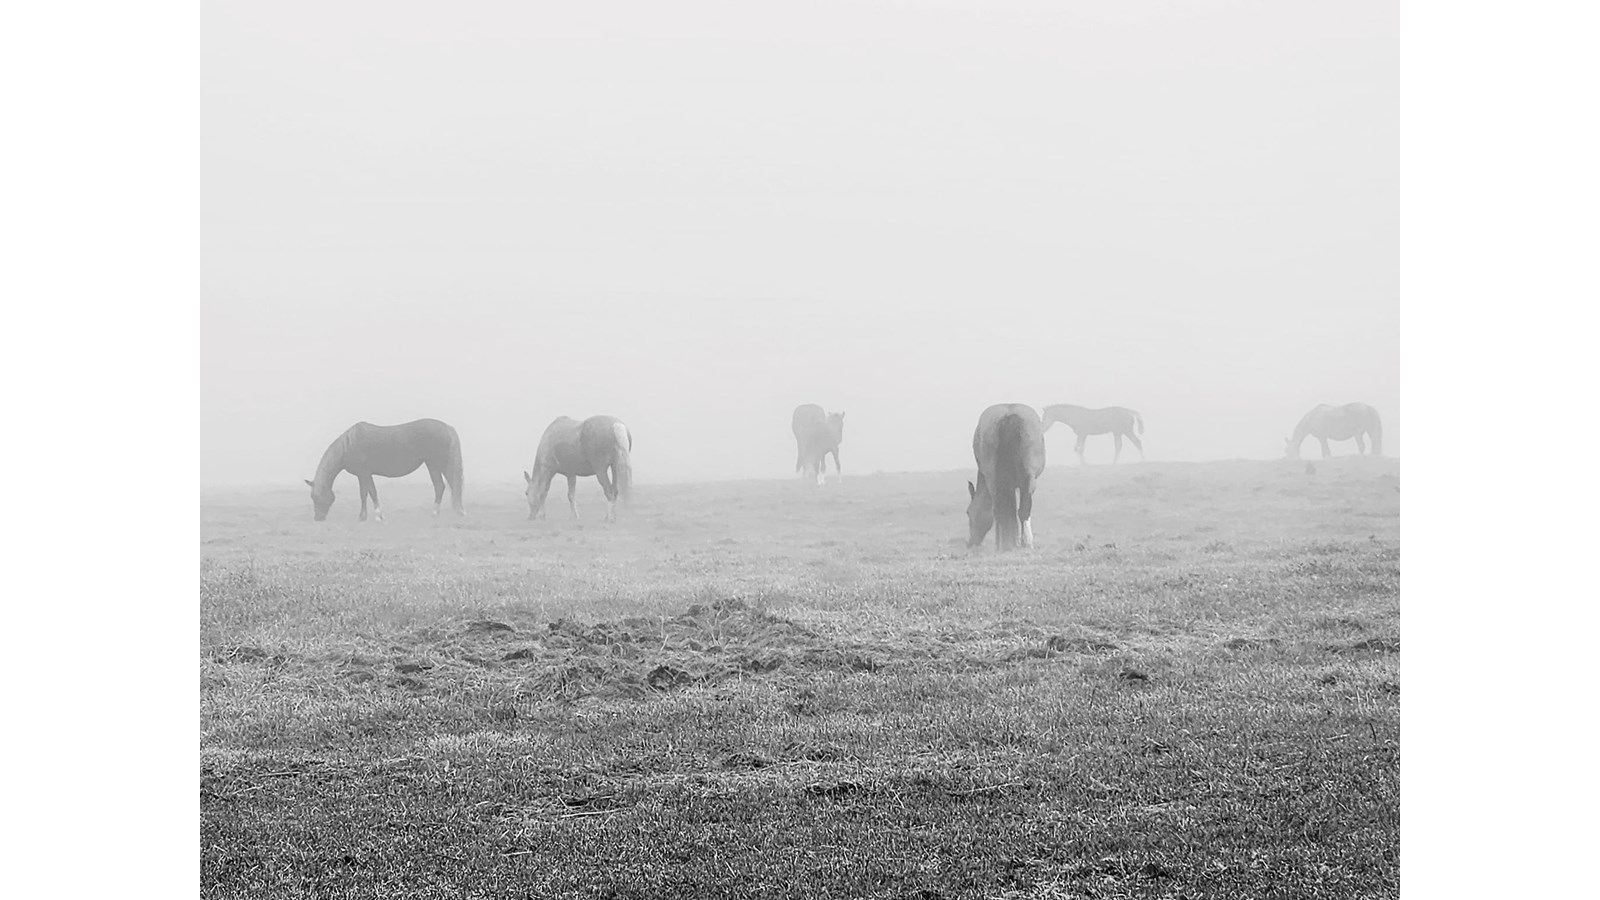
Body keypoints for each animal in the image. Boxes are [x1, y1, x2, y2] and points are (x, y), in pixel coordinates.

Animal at [305, 418, 464, 522]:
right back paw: (436, 513)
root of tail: (447, 428)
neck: (349, 445)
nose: (317, 518)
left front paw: (377, 516)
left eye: (316, 497)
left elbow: (371, 492)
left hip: (438, 464)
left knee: (447, 485)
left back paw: (450, 511)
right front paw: (363, 516)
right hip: (432, 465)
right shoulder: (361, 475)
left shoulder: (365, 473)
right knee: (440, 486)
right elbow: (364, 493)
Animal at [966, 404, 1047, 551]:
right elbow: (1013, 512)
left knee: (1000, 511)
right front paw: (1015, 541)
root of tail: (1010, 414)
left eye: (968, 512)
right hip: (1028, 480)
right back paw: (1025, 543)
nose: (971, 543)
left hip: (995, 482)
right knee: (1023, 511)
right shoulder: (1013, 486)